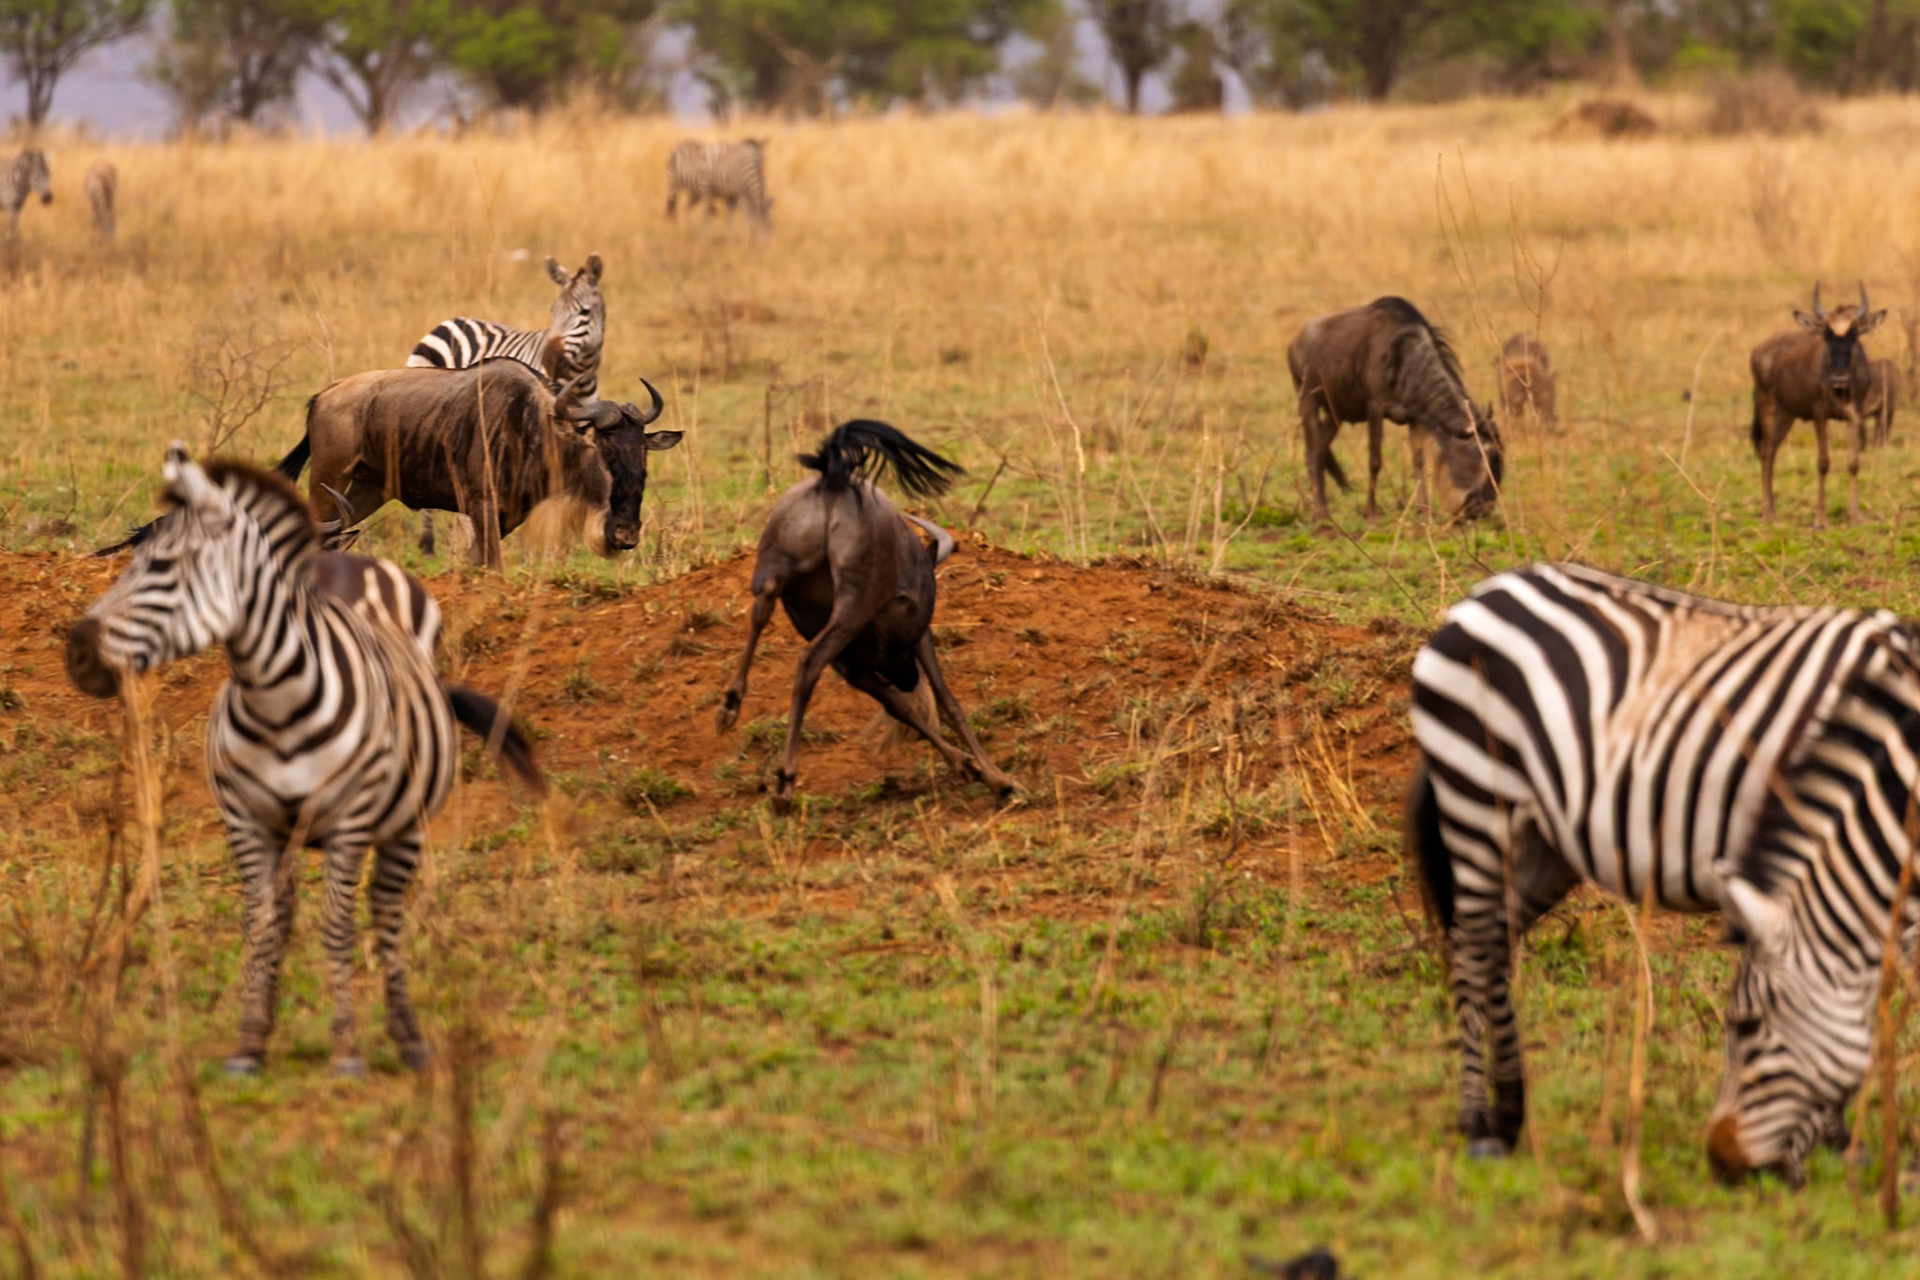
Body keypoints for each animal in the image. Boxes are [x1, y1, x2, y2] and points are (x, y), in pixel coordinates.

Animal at [67, 446, 544, 1077]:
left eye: (167, 569)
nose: (82, 652)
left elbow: (337, 922)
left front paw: (343, 1044)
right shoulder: (251, 820)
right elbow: (265, 920)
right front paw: (252, 1037)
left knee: (383, 909)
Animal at [405, 252, 605, 553]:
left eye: (584, 313)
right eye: (553, 311)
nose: (551, 360)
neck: (577, 380)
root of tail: (448, 322)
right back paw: (431, 543)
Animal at [1408, 560, 1916, 1180]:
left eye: (1747, 1026)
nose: (1730, 1163)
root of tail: (1482, 593)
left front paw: (1843, 1140)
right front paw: (1847, 1140)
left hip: (1541, 845)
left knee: (1486, 948)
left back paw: (1495, 1113)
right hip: (1478, 798)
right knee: (1475, 950)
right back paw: (1485, 1123)